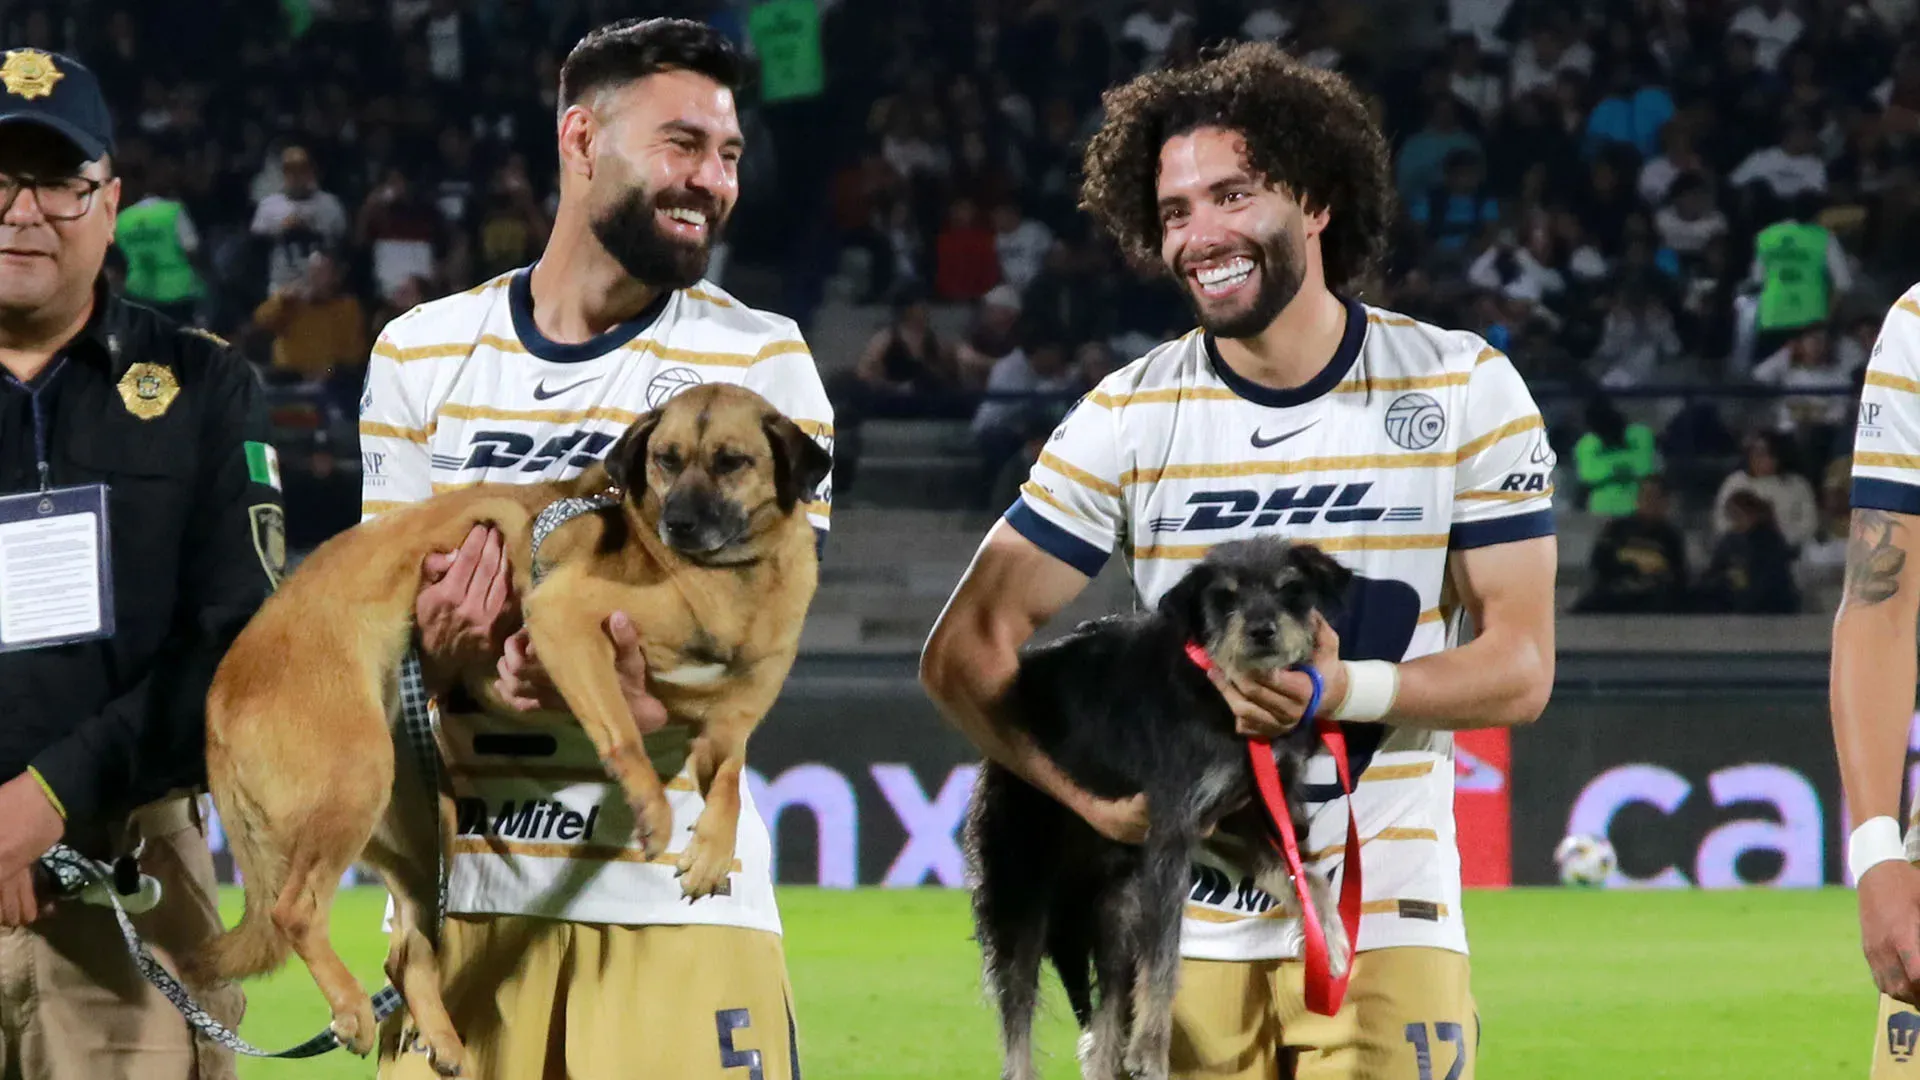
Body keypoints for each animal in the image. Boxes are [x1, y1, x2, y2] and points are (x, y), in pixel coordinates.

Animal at [967, 534, 1359, 1068]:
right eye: (1225, 597)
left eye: (1291, 589)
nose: (1262, 631)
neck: (1216, 689)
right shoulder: (1172, 834)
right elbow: (1164, 960)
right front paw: (1152, 1052)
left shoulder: (1235, 819)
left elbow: (1308, 877)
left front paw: (1334, 942)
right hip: (1020, 898)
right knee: (1018, 1029)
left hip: (1114, 912)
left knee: (1103, 1032)